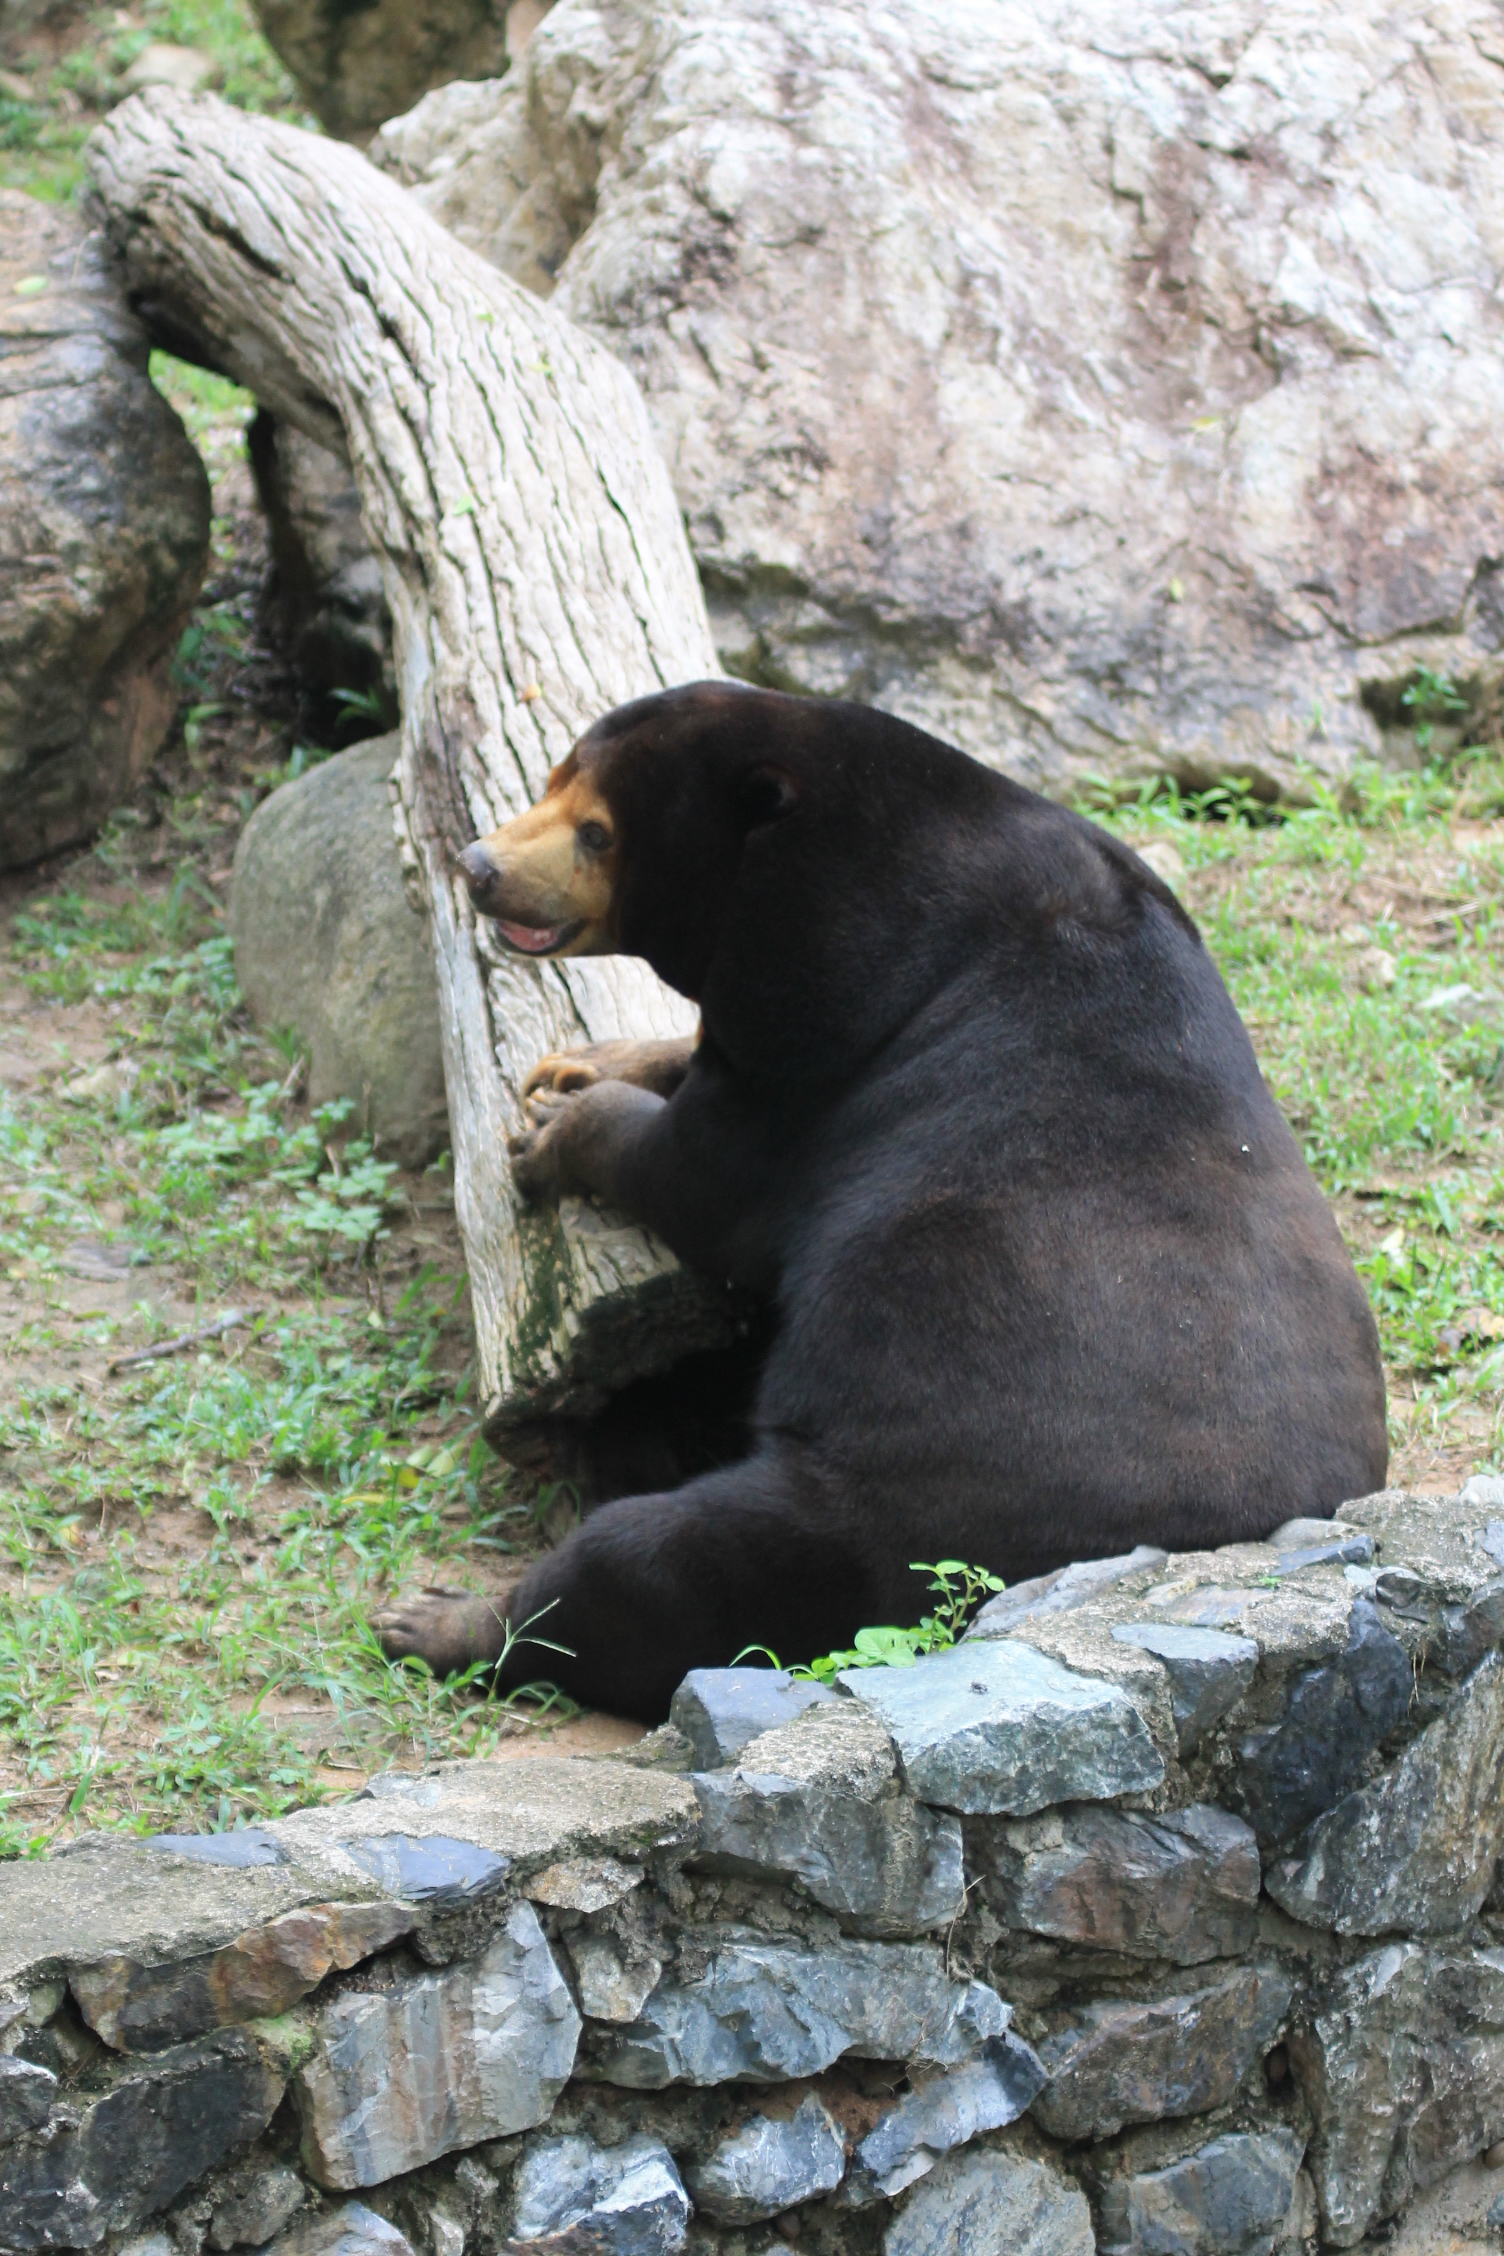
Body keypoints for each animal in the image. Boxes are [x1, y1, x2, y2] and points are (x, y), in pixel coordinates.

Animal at [376, 676, 1389, 1714]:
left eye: (597, 832)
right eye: (550, 782)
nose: (479, 865)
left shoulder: (834, 1024)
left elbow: (710, 1180)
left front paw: (550, 1137)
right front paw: (576, 1064)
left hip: (875, 1518)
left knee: (641, 1568)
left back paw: (435, 1621)